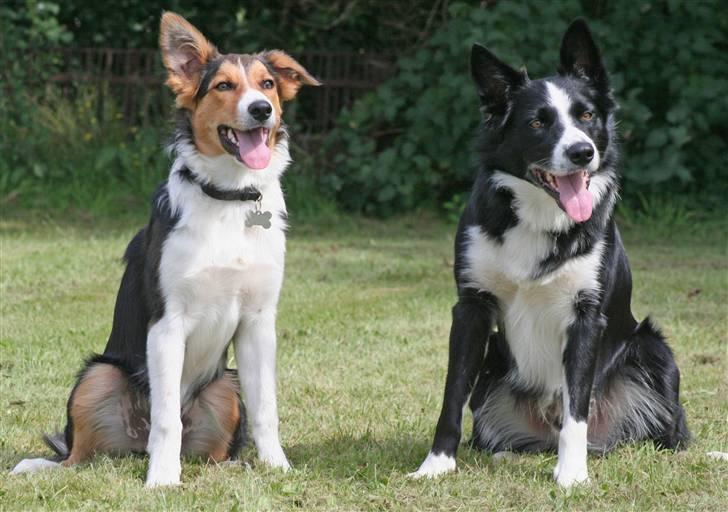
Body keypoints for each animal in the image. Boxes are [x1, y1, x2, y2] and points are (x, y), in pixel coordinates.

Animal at [11, 10, 318, 486]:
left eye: (267, 84)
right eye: (223, 86)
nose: (261, 110)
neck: (228, 199)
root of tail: (134, 445)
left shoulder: (258, 322)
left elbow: (267, 409)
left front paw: (278, 467)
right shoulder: (167, 323)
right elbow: (167, 417)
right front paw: (162, 480)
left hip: (226, 386)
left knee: (214, 452)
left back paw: (233, 464)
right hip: (98, 375)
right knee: (77, 455)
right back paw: (42, 466)